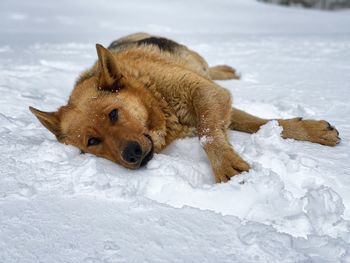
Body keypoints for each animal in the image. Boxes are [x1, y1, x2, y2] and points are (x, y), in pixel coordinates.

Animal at [28, 33, 340, 184]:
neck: (156, 100)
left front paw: (224, 163)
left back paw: (228, 70)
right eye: (92, 141)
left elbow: (210, 132)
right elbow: (257, 123)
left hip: (198, 64)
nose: (132, 155)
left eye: (114, 113)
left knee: (211, 69)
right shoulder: (216, 102)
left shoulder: (207, 93)